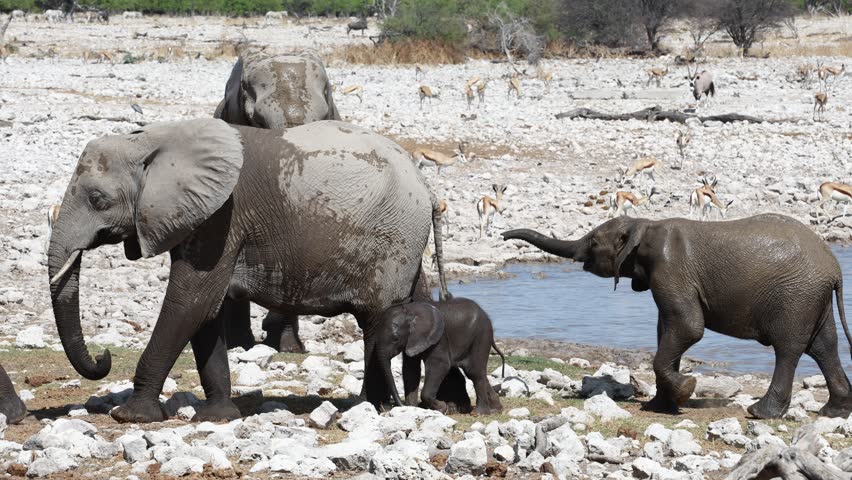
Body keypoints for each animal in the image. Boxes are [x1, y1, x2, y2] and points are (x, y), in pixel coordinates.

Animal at [48, 118, 448, 423]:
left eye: (98, 200)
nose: (103, 357)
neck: (157, 138)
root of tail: (427, 188)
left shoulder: (221, 218)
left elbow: (190, 302)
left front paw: (131, 417)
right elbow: (206, 311)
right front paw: (217, 417)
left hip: (392, 239)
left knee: (377, 320)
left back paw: (368, 408)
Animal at [375, 297, 505, 415]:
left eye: (395, 339)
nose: (400, 405)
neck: (409, 310)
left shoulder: (438, 337)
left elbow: (440, 365)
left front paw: (442, 408)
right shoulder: (412, 339)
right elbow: (410, 370)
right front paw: (413, 409)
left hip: (481, 335)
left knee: (474, 372)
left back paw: (478, 413)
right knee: (474, 372)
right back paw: (496, 409)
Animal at [503, 214, 852, 419]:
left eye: (593, 241)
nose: (503, 236)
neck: (644, 223)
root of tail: (834, 268)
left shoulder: (671, 269)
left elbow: (687, 328)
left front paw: (686, 390)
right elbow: (667, 331)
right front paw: (659, 406)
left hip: (796, 296)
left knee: (789, 349)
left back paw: (760, 413)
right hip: (812, 299)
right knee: (825, 347)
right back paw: (833, 411)